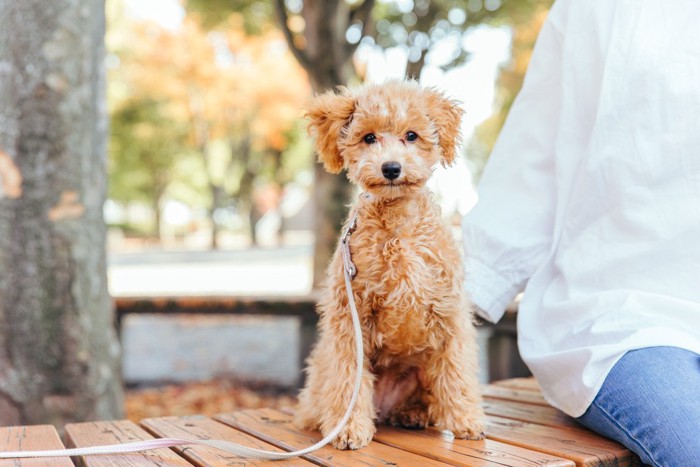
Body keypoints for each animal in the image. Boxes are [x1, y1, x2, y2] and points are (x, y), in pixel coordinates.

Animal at [296, 80, 486, 450]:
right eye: (369, 137)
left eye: (411, 135)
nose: (391, 168)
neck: (398, 226)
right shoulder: (350, 316)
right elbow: (348, 377)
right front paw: (349, 430)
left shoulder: (449, 312)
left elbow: (457, 372)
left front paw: (466, 421)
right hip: (321, 369)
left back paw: (411, 414)